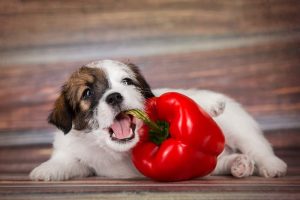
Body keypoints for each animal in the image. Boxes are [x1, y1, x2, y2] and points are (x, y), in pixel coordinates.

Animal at [29, 59, 288, 181]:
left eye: (126, 82)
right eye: (87, 93)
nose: (114, 96)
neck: (118, 150)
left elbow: (178, 97)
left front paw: (210, 102)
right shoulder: (79, 156)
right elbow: (66, 161)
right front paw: (46, 169)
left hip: (240, 129)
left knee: (258, 148)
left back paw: (271, 165)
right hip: (205, 164)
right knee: (219, 164)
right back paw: (238, 164)